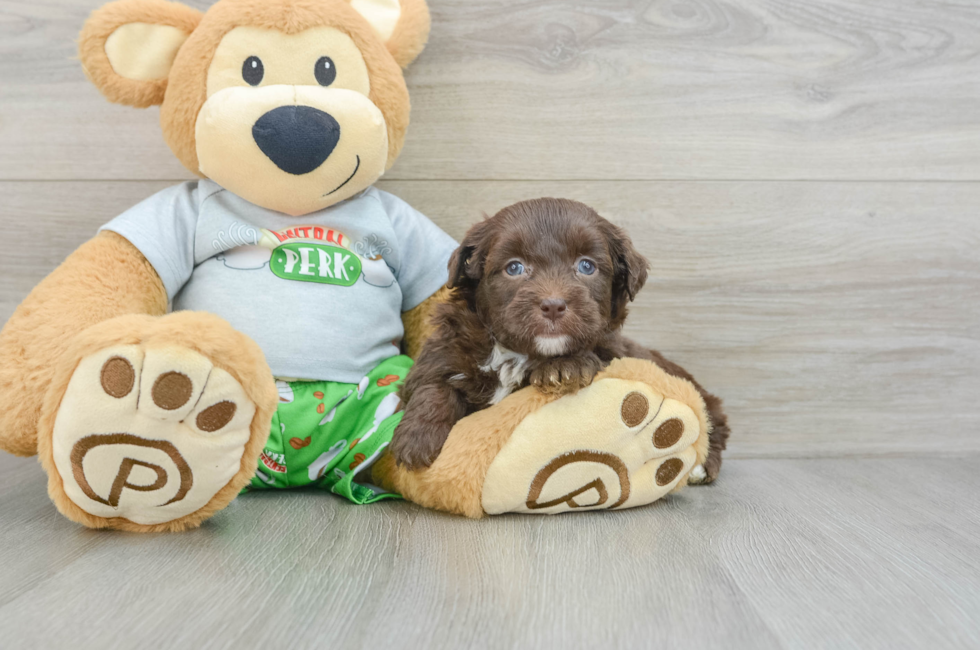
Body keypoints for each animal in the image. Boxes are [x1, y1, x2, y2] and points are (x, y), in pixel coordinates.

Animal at [390, 195, 728, 478]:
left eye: (586, 266)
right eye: (514, 267)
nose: (553, 305)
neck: (515, 354)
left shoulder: (611, 348)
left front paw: (564, 367)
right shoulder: (446, 348)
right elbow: (432, 384)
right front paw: (416, 439)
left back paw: (701, 467)